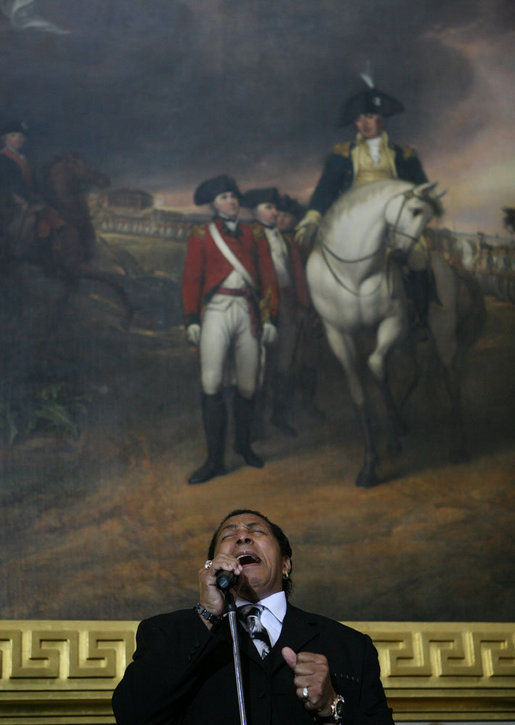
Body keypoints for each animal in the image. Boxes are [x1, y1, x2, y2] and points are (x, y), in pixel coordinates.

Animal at [308, 179, 486, 490]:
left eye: (428, 217)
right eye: (415, 210)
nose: (401, 255)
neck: (354, 274)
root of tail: (449, 267)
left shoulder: (392, 324)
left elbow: (376, 366)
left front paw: (392, 440)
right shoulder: (338, 335)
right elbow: (359, 393)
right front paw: (369, 465)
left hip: (441, 337)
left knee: (451, 378)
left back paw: (459, 447)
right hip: (409, 341)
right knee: (415, 371)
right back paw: (403, 423)